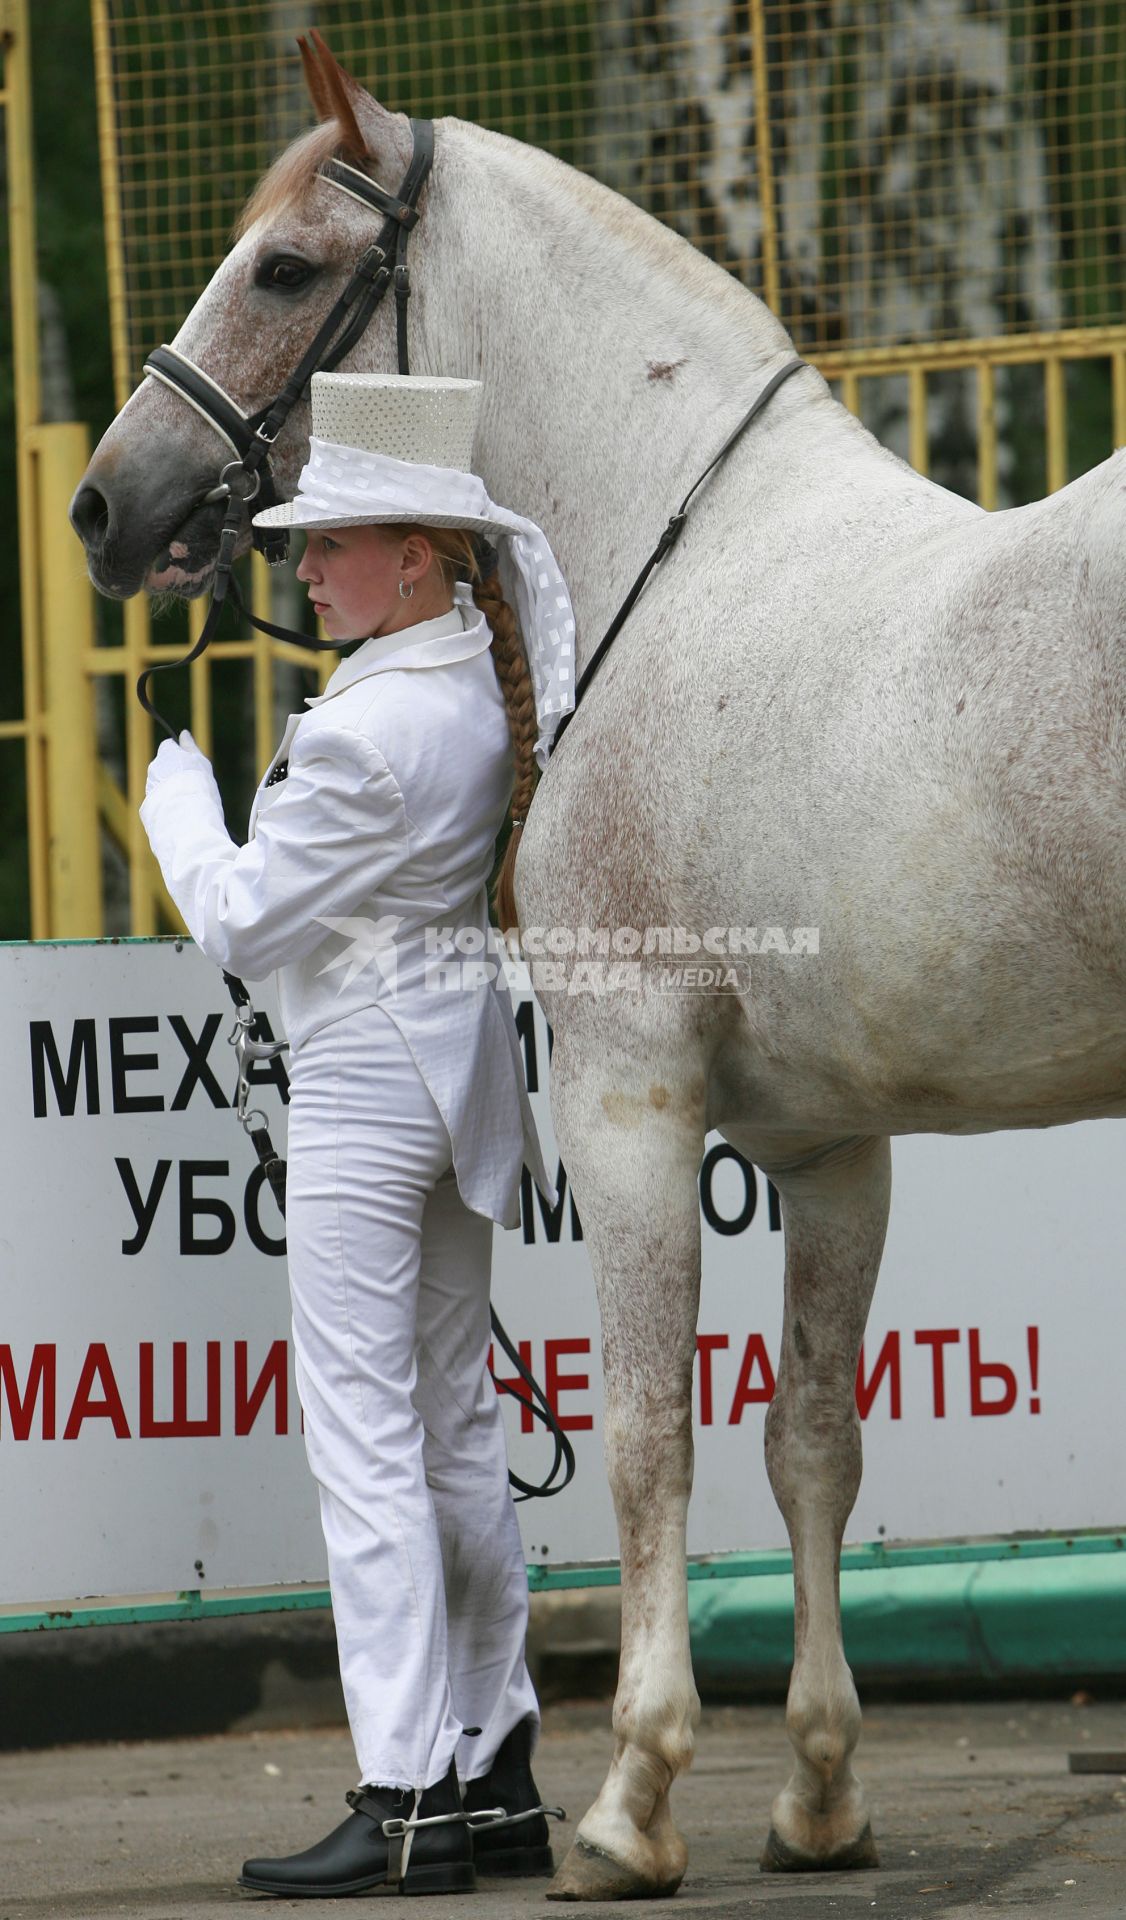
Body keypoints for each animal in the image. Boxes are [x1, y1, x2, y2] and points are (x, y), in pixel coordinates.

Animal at [74, 45, 1114, 1904]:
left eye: (281, 269)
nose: (109, 504)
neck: (680, 564)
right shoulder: (830, 1148)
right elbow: (811, 1440)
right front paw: (817, 1796)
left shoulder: (632, 1101)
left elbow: (643, 1438)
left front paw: (631, 1801)